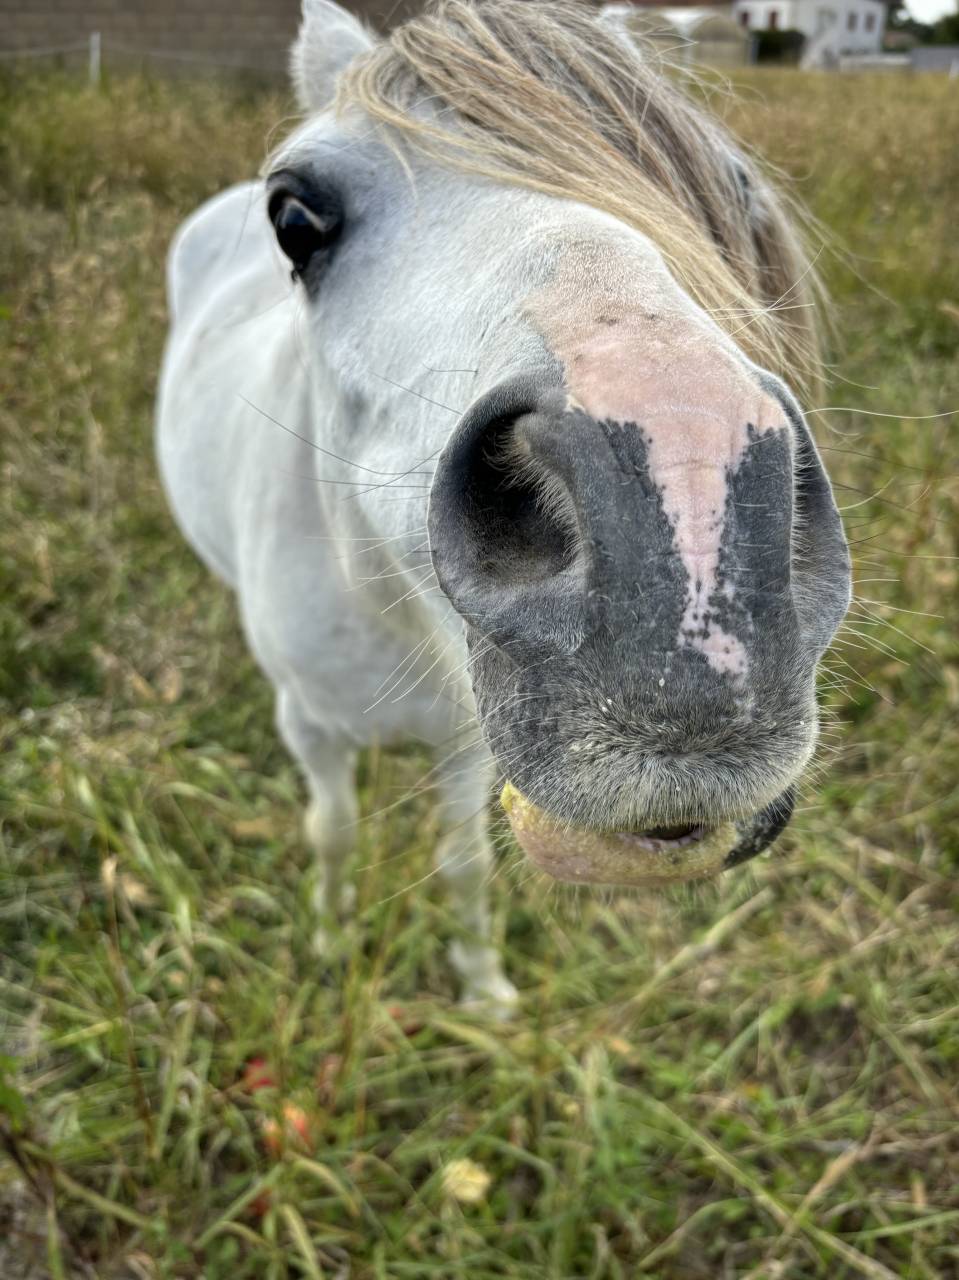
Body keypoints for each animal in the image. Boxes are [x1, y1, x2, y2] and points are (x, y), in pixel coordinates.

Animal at [156, 0, 851, 1010]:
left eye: (722, 183)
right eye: (293, 216)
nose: (684, 542)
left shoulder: (464, 749)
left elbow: (464, 866)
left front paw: (482, 991)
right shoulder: (311, 732)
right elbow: (333, 835)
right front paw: (328, 946)